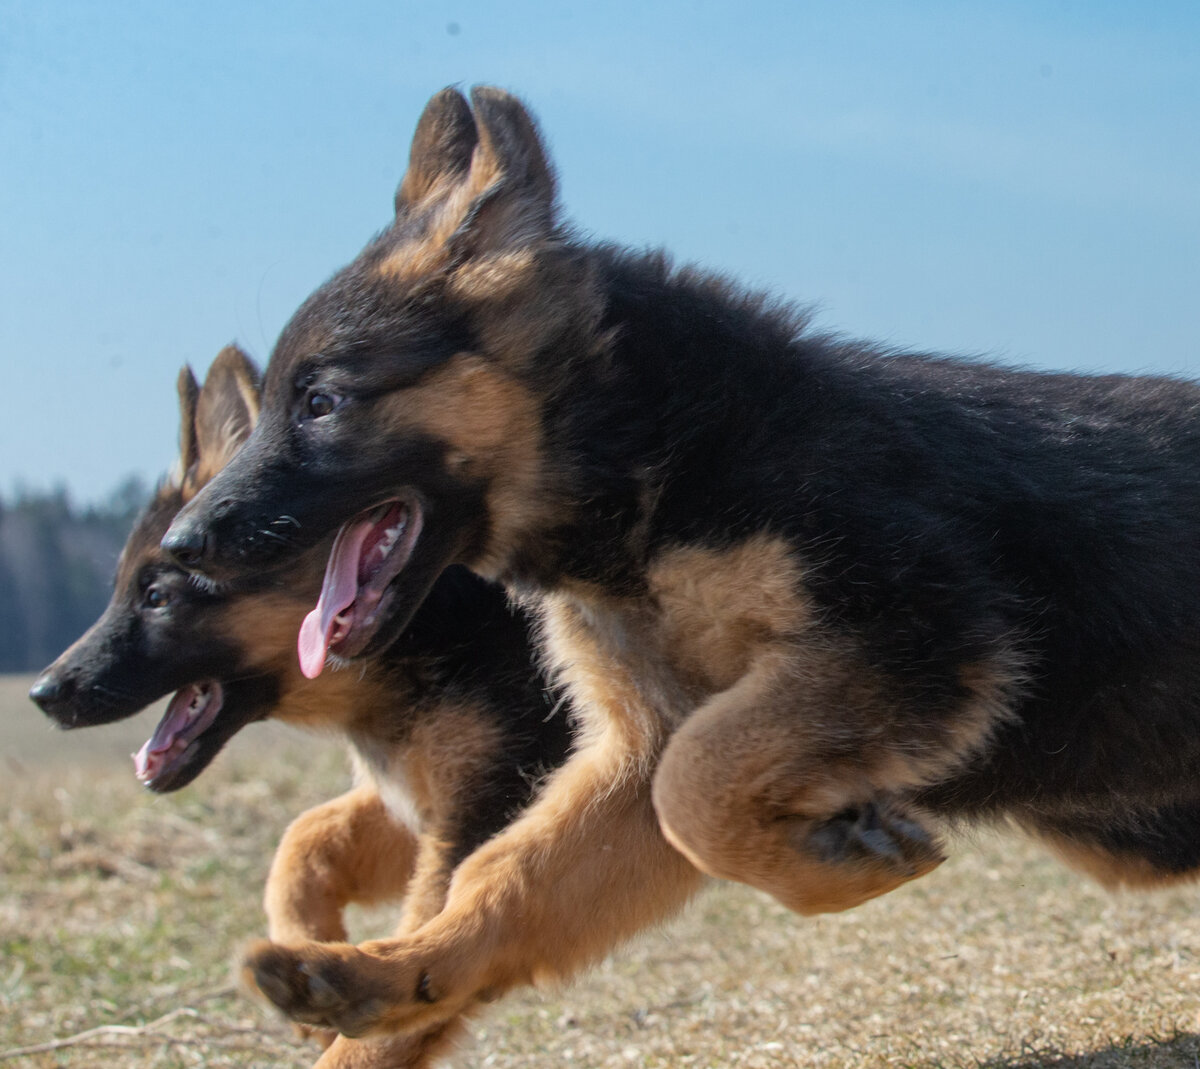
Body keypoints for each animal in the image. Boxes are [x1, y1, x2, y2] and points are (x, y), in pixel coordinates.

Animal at [27, 347, 571, 1065]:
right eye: (121, 587)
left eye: (158, 595)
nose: (43, 692)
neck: (426, 616)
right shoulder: (418, 801)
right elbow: (305, 835)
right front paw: (307, 933)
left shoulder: (476, 822)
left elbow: (401, 999)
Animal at [162, 87, 1200, 1051]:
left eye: (321, 402)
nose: (178, 548)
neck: (651, 456)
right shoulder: (641, 743)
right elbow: (506, 875)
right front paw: (385, 978)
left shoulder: (906, 635)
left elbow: (692, 788)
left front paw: (837, 864)